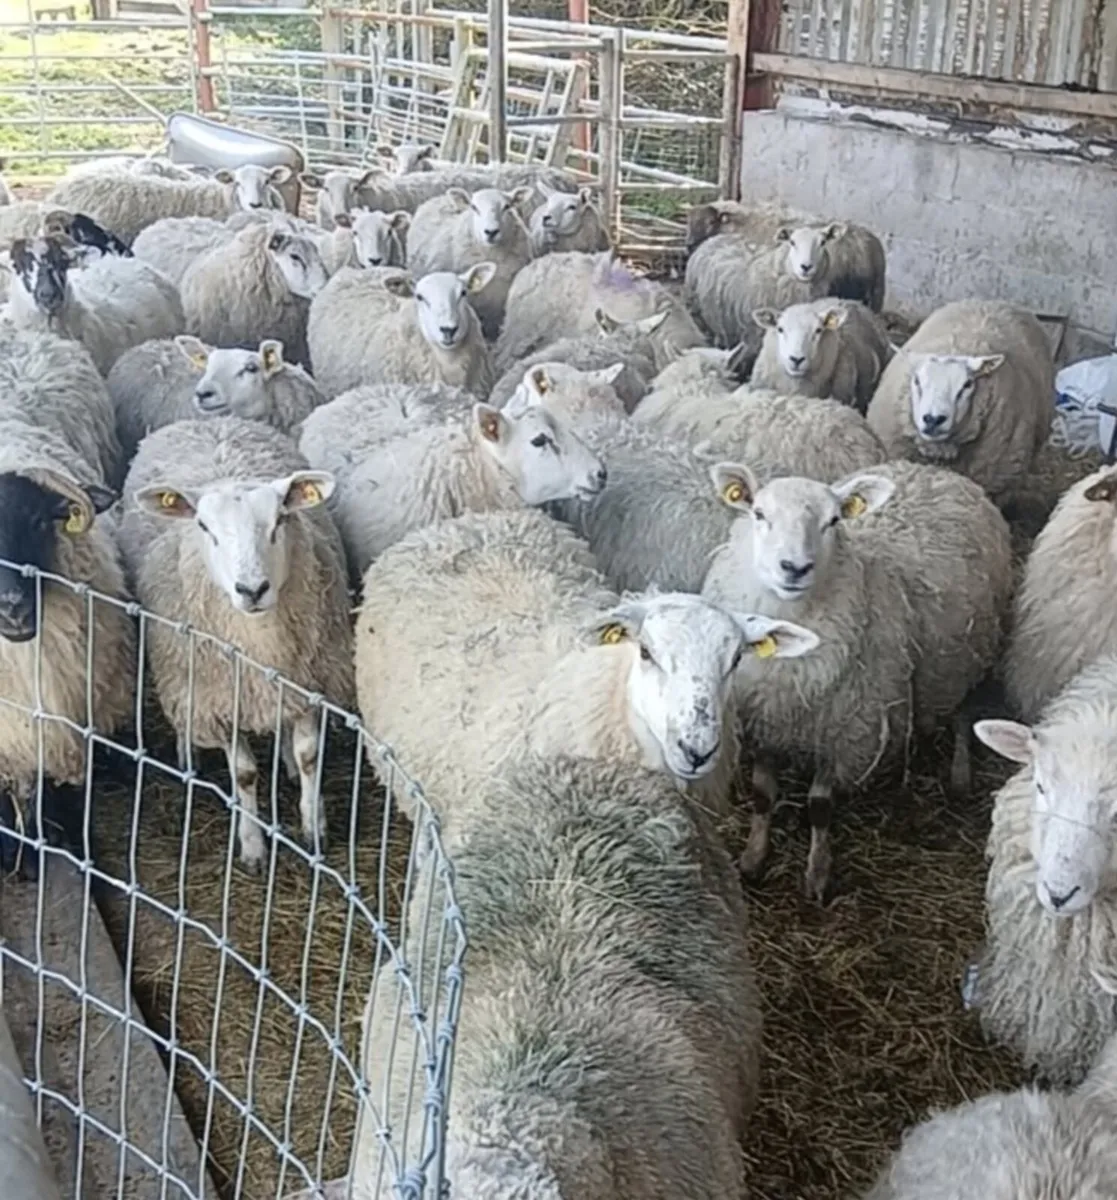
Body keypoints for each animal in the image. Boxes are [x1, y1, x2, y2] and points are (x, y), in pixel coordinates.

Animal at [118, 417, 354, 871]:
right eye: (203, 527)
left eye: (280, 520)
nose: (252, 589)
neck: (260, 640)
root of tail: (209, 420)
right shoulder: (220, 699)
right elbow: (244, 773)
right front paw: (253, 846)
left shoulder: (309, 680)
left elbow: (309, 755)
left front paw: (314, 829)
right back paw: (187, 755)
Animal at [702, 459, 1012, 900]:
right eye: (759, 514)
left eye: (833, 521)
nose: (794, 569)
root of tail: (934, 469)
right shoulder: (766, 719)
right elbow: (763, 797)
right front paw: (753, 858)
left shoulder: (845, 732)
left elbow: (820, 808)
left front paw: (817, 875)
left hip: (972, 651)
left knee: (966, 715)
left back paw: (959, 774)